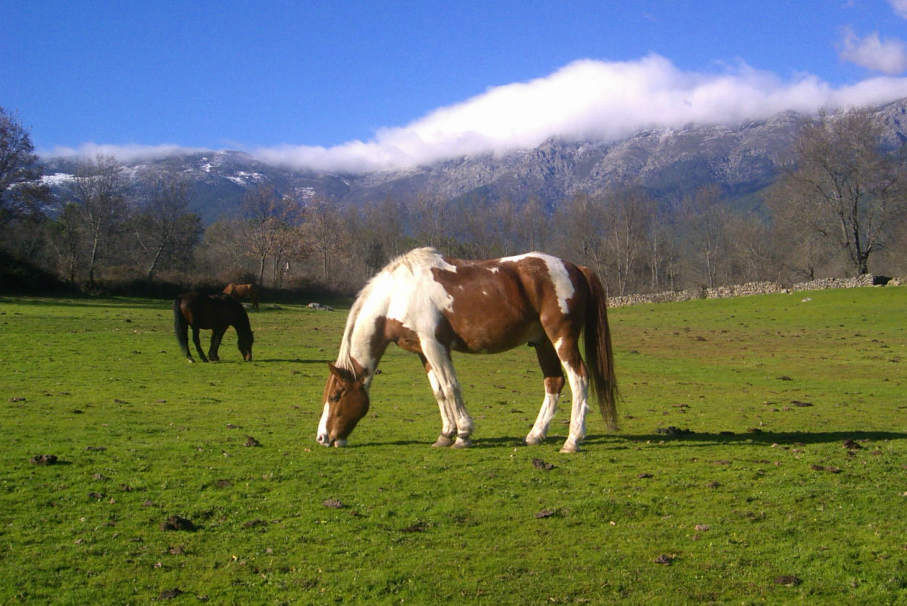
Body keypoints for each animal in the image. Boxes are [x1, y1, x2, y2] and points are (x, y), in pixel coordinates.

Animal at [318, 249, 616, 454]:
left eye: (335, 396)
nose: (322, 438)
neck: (398, 295)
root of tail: (575, 267)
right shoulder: (423, 352)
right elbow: (439, 392)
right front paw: (445, 435)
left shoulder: (435, 346)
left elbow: (451, 388)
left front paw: (463, 435)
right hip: (542, 343)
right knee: (554, 383)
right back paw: (535, 435)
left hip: (562, 339)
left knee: (579, 379)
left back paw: (572, 440)